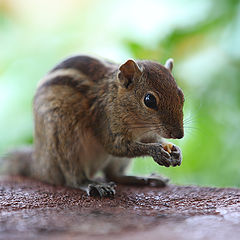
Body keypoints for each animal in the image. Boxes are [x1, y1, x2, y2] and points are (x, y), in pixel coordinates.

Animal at [2, 55, 184, 197]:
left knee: (114, 175)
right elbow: (115, 146)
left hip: (116, 161)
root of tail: (39, 164)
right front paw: (156, 151)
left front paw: (175, 150)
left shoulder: (146, 134)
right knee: (73, 178)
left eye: (181, 95)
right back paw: (92, 183)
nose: (179, 135)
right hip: (66, 142)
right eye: (149, 100)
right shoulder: (105, 122)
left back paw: (145, 178)